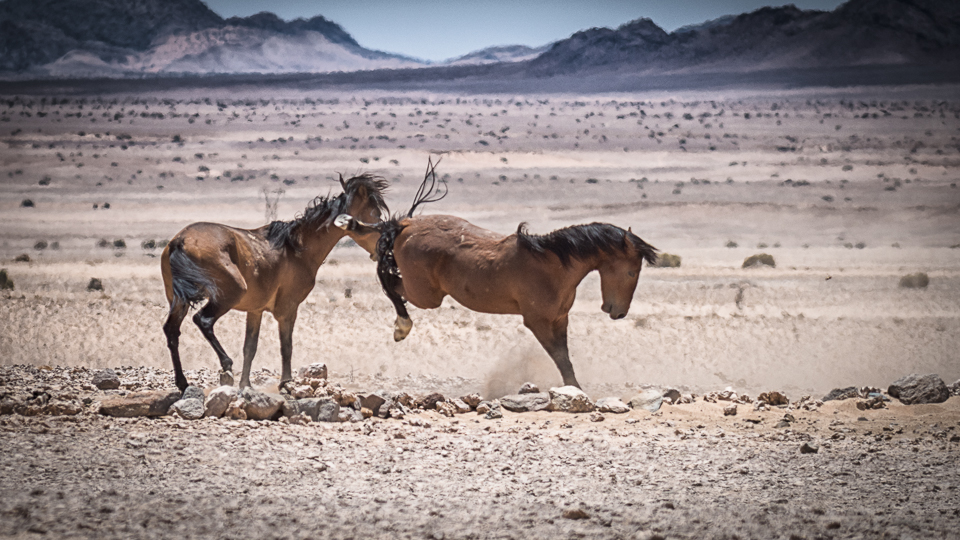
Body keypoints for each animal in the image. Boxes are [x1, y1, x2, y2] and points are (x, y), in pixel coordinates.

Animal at [163, 175, 388, 390]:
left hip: (179, 301)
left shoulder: (255, 310)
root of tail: (180, 241)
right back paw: (226, 366)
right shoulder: (287, 309)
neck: (297, 248)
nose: (381, 247)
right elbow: (286, 347)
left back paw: (183, 383)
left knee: (171, 331)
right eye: (375, 213)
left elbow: (250, 347)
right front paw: (285, 382)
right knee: (203, 320)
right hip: (228, 295)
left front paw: (246, 385)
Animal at [334, 171, 656, 386]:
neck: (553, 263)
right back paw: (402, 326)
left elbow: (565, 358)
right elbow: (560, 359)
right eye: (632, 271)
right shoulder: (537, 321)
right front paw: (575, 392)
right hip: (425, 295)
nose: (618, 312)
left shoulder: (559, 319)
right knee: (388, 281)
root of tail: (407, 224)